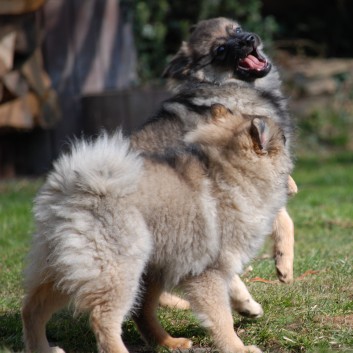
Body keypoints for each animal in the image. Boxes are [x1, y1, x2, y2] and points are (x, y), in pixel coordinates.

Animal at [21, 104, 292, 352]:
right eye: (284, 139)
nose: (289, 138)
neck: (229, 172)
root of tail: (74, 188)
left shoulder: (207, 264)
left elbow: (233, 288)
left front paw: (248, 307)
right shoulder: (209, 270)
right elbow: (221, 317)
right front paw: (238, 347)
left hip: (72, 266)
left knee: (33, 309)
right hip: (117, 268)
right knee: (103, 318)